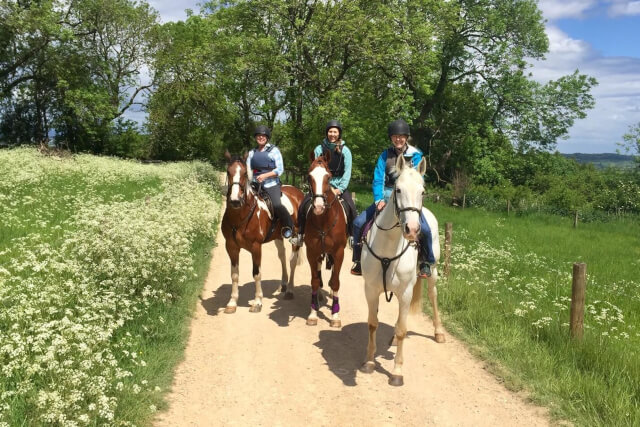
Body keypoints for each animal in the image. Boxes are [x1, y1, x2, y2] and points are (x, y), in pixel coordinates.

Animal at [222, 152, 304, 312]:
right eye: (228, 172)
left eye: (245, 173)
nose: (235, 200)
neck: (240, 216)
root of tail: (299, 193)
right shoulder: (231, 247)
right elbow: (234, 274)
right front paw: (232, 302)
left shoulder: (256, 247)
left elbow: (256, 274)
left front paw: (257, 302)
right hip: (278, 236)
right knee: (282, 256)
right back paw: (283, 284)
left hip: (296, 236)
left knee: (292, 260)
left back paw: (290, 290)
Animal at [360, 155, 444, 388]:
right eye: (398, 189)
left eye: (422, 191)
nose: (413, 230)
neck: (389, 247)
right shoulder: (371, 290)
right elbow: (372, 324)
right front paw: (369, 362)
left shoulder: (406, 292)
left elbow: (402, 330)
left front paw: (397, 371)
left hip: (433, 272)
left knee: (433, 295)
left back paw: (439, 332)